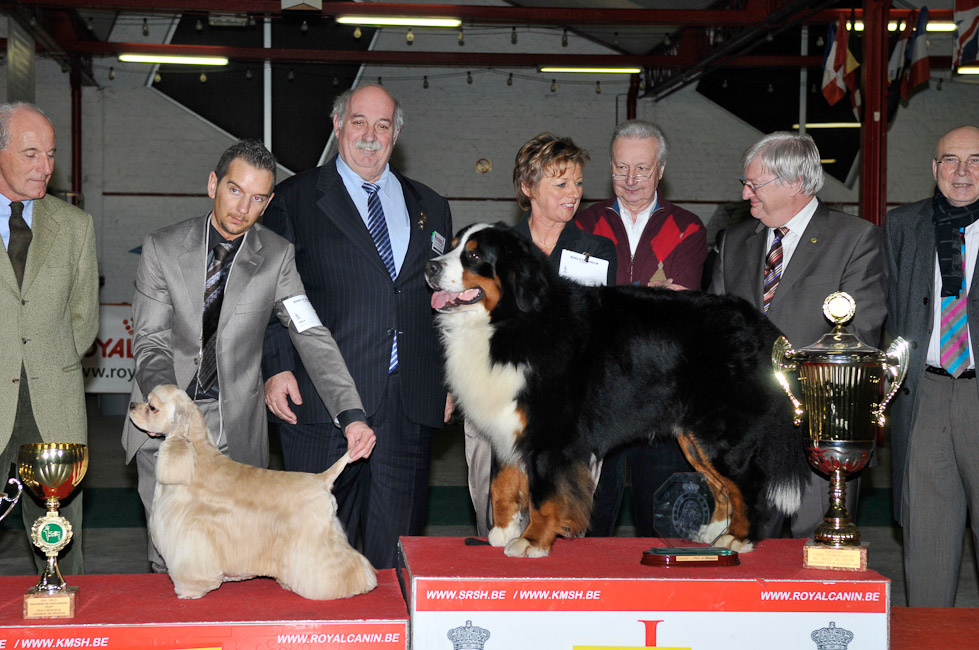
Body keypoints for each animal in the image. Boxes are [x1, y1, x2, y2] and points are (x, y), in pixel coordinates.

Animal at [424, 223, 808, 556]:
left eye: (474, 255)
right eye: (452, 245)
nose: (430, 266)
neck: (510, 322)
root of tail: (760, 324)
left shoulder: (548, 432)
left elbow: (543, 494)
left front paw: (531, 541)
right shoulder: (509, 422)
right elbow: (502, 483)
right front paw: (502, 532)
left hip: (723, 434)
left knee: (745, 485)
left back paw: (738, 538)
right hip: (694, 438)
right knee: (721, 487)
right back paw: (711, 533)